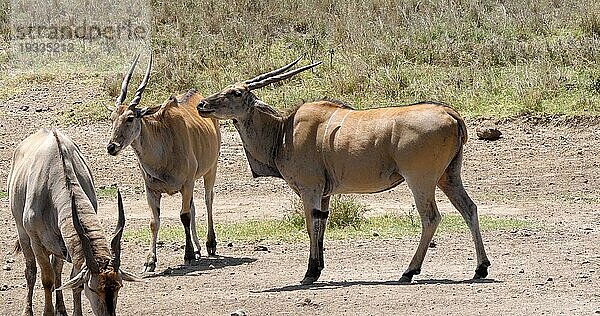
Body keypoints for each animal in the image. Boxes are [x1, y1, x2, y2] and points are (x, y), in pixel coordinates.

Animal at [7, 129, 141, 316]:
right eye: (92, 288)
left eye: (118, 287)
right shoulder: (37, 242)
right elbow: (46, 279)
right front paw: (47, 312)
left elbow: (72, 281)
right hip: (24, 234)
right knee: (31, 271)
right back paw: (28, 310)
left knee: (57, 270)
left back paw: (61, 309)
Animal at [106, 55, 221, 272]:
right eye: (112, 118)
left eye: (130, 118)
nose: (111, 147)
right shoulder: (151, 190)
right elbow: (154, 221)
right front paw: (150, 261)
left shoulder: (187, 184)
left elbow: (184, 216)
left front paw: (187, 255)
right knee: (194, 206)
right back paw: (198, 248)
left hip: (211, 169)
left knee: (208, 200)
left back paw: (210, 244)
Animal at [199, 58, 490, 286]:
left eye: (236, 93)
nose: (202, 104)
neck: (282, 132)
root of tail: (451, 114)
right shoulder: (324, 194)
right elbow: (322, 224)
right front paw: (318, 269)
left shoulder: (310, 189)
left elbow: (311, 225)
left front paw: (310, 273)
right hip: (449, 176)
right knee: (469, 208)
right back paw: (481, 267)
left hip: (421, 180)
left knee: (431, 217)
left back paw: (409, 271)